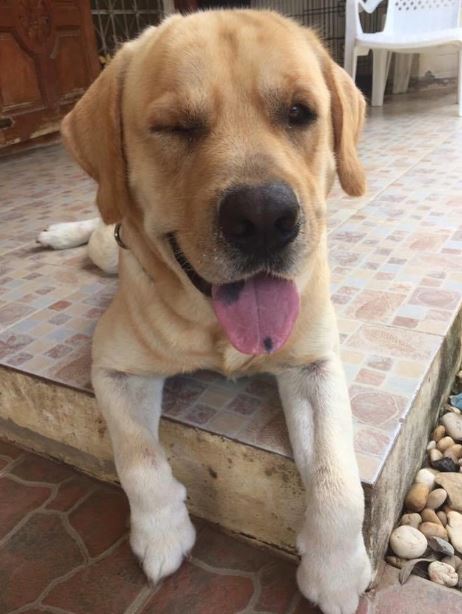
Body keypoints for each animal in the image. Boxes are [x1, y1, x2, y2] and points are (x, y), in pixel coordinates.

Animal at [44, 9, 372, 614]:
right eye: (176, 127)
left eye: (300, 113)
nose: (265, 218)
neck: (215, 328)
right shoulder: (113, 369)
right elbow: (138, 458)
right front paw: (160, 532)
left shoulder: (315, 366)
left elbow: (338, 480)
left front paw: (337, 567)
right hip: (106, 248)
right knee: (97, 227)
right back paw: (58, 233)